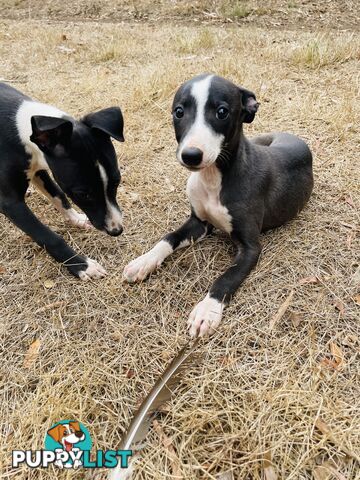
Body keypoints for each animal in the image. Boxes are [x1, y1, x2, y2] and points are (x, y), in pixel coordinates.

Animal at [0, 82, 124, 278]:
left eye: (117, 182)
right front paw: (82, 265)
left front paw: (77, 219)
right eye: (83, 194)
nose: (116, 231)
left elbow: (59, 196)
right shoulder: (10, 203)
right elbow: (48, 236)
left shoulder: (39, 170)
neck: (21, 127)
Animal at [123, 75, 312, 336]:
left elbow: (227, 277)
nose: (191, 155)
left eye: (222, 112)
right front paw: (144, 261)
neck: (213, 177)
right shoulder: (199, 223)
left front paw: (206, 310)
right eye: (179, 112)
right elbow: (168, 238)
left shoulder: (250, 247)